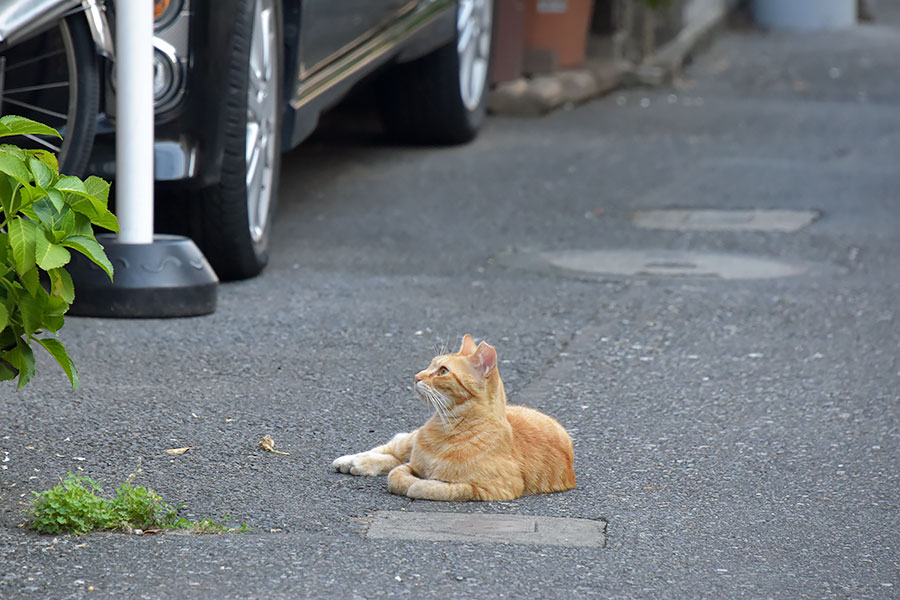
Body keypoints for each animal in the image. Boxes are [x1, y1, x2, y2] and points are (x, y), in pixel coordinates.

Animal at [332, 336, 576, 500]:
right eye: (430, 364)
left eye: (442, 371)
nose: (416, 377)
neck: (448, 429)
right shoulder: (412, 463)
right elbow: (397, 474)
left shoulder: (497, 489)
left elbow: (442, 487)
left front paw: (421, 485)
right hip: (407, 442)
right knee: (392, 450)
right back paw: (351, 461)